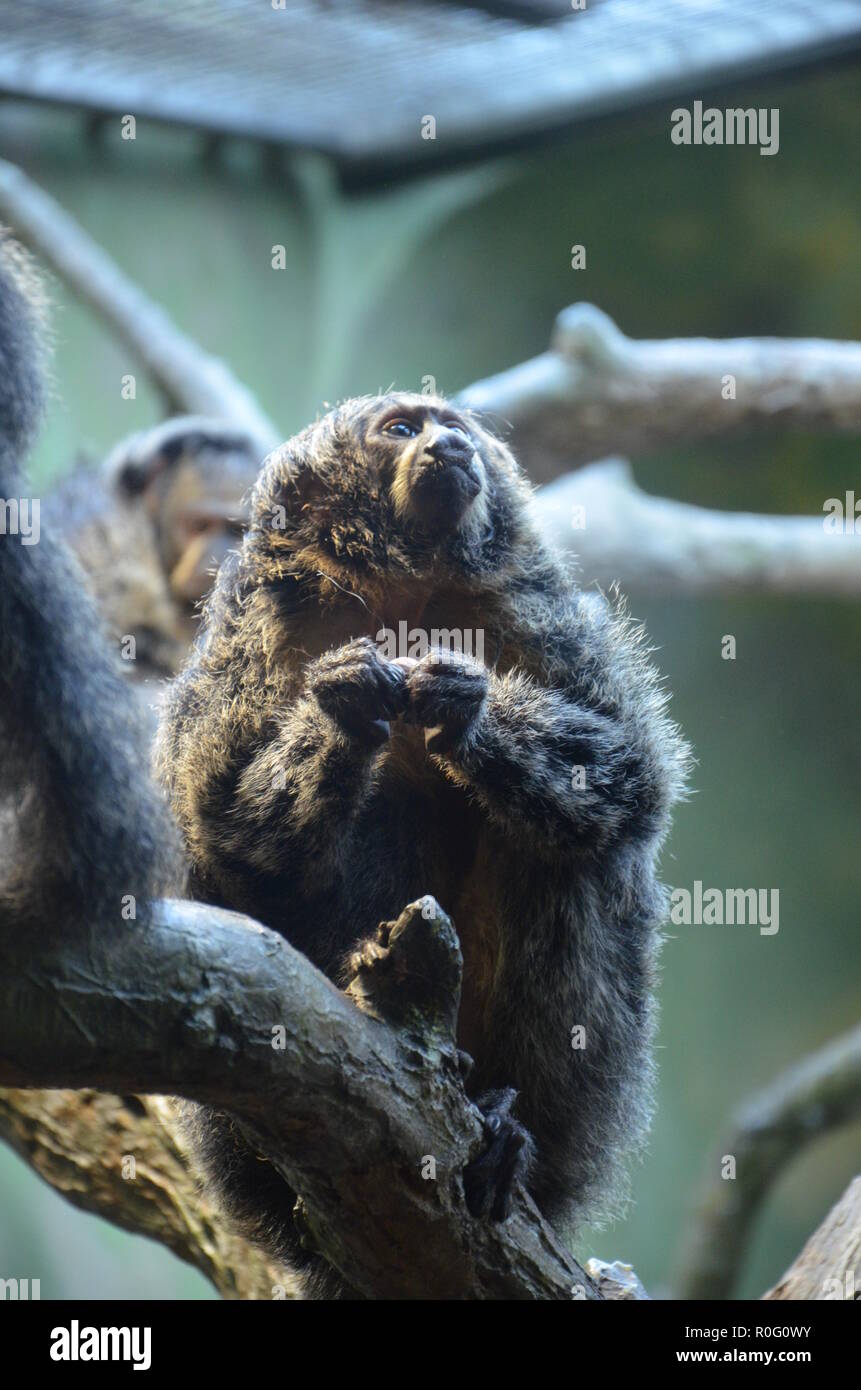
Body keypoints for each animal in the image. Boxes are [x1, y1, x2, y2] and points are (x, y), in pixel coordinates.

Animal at [156, 389, 691, 1296]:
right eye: (402, 430)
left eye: (455, 428)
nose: (450, 447)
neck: (399, 589)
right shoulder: (253, 632)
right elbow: (224, 829)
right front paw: (346, 703)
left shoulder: (539, 616)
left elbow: (627, 775)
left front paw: (463, 708)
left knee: (570, 857)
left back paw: (508, 1123)